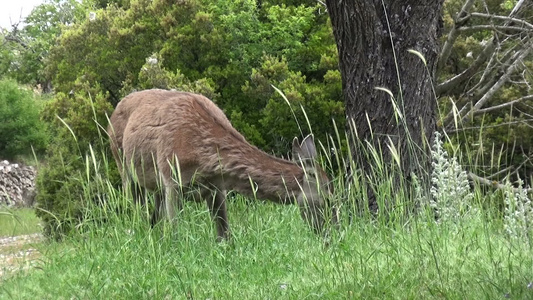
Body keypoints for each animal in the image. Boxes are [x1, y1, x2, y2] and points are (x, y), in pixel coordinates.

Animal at [106, 88, 334, 240]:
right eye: (327, 199)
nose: (331, 234)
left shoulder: (217, 187)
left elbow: (224, 234)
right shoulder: (172, 179)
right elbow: (175, 229)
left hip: (155, 186)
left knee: (153, 215)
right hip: (123, 165)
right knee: (137, 209)